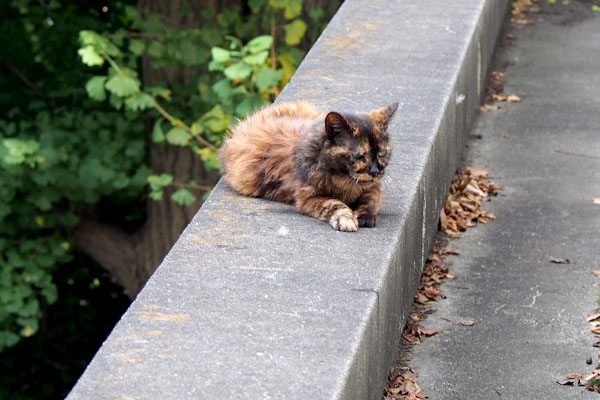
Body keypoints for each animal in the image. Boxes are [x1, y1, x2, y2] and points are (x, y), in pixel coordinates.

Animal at [219, 101, 398, 231]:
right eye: (360, 156)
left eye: (382, 153)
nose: (375, 171)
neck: (343, 181)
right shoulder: (308, 198)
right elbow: (335, 204)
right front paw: (346, 219)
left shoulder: (373, 187)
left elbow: (371, 200)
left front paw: (365, 217)